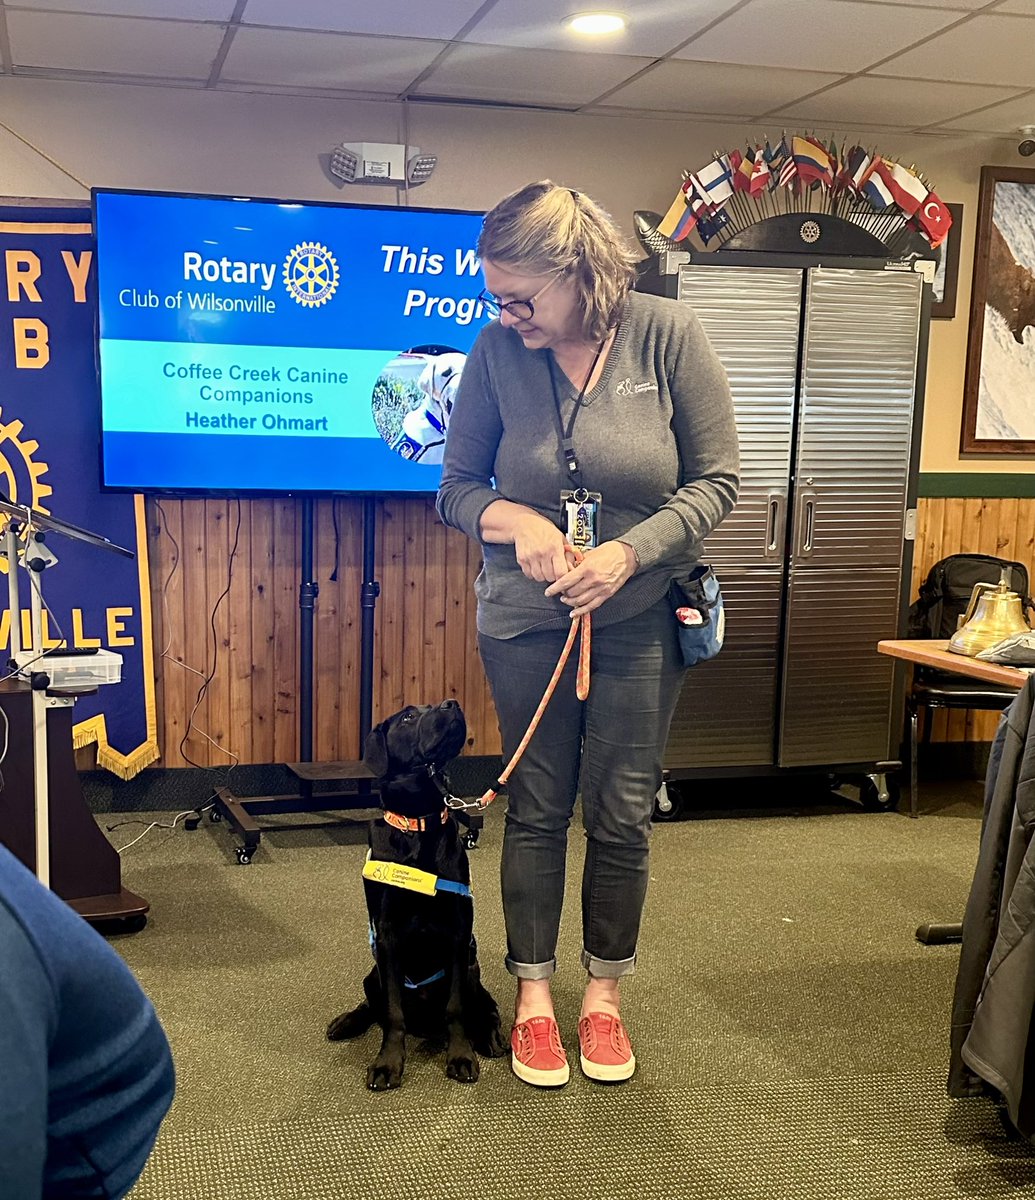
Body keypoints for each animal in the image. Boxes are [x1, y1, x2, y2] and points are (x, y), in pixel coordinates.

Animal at [326, 700, 509, 1094]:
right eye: (408, 716)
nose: (452, 703)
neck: (417, 825)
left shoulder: (458, 935)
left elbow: (455, 1008)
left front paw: (460, 1055)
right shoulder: (387, 936)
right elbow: (393, 1012)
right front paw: (388, 1062)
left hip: (472, 968)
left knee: (485, 1007)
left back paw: (489, 1037)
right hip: (373, 973)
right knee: (372, 1003)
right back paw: (347, 1022)